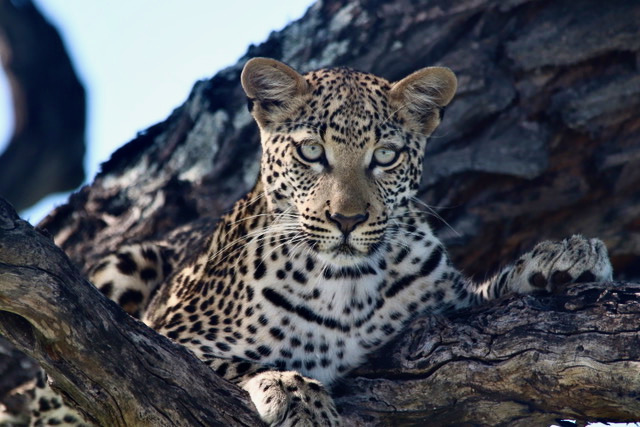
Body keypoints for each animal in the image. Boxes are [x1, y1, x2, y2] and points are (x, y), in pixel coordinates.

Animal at [7, 57, 612, 427]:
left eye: (385, 156)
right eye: (311, 152)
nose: (347, 219)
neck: (346, 282)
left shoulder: (448, 307)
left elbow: (487, 292)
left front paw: (561, 259)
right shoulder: (168, 338)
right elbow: (214, 365)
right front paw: (296, 391)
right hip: (129, 264)